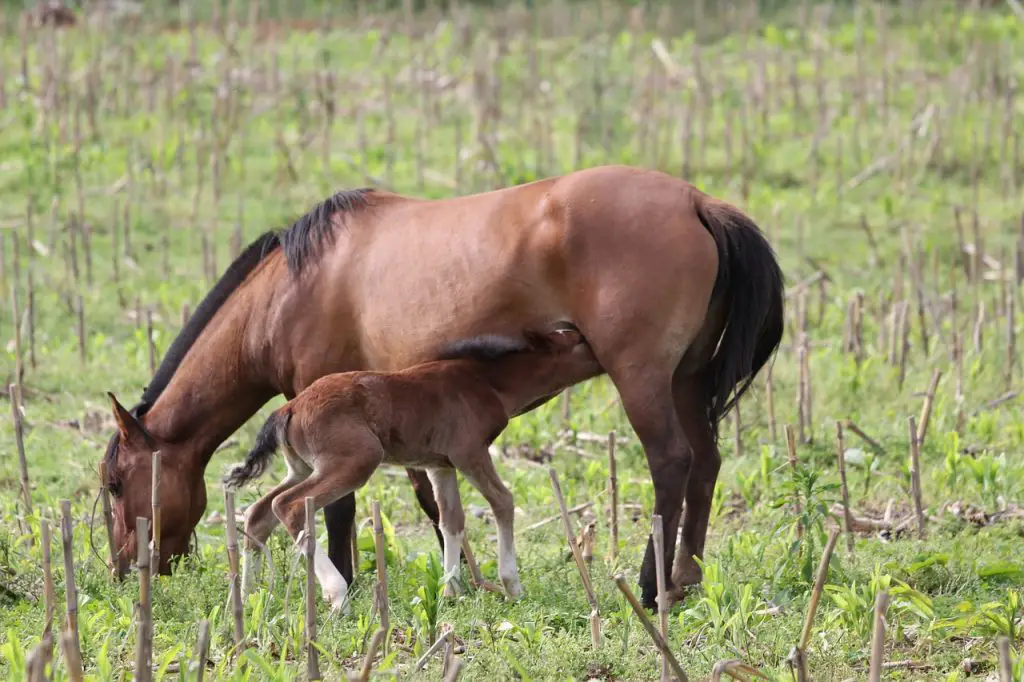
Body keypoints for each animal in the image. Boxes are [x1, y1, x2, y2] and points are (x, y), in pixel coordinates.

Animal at [220, 323, 598, 610]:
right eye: (578, 340)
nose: (599, 348)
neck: (486, 382)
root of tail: (290, 407)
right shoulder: (470, 453)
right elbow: (503, 501)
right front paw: (512, 585)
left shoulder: (440, 465)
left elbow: (451, 520)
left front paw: (450, 591)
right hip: (355, 461)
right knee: (290, 505)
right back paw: (336, 593)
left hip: (301, 468)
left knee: (259, 511)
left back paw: (248, 597)